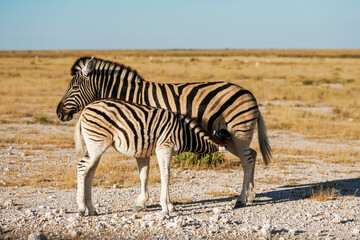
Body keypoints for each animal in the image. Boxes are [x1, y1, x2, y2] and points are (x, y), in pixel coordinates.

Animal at [75, 98, 231, 216]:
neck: (185, 134)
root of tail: (86, 108)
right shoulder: (164, 148)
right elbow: (166, 175)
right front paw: (165, 208)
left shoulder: (155, 151)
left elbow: (154, 175)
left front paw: (169, 205)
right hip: (97, 144)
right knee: (82, 167)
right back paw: (82, 208)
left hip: (94, 145)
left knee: (89, 172)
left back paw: (91, 209)